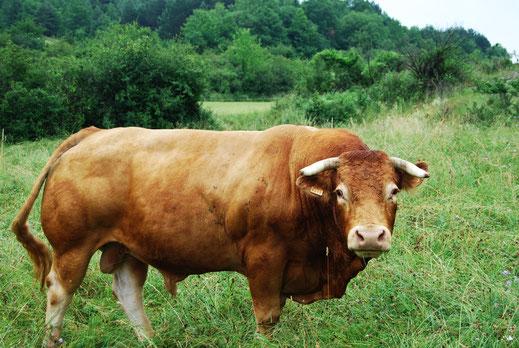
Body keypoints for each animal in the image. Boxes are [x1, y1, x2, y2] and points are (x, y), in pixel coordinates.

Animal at [12, 125, 430, 346]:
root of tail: (91, 134)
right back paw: (52, 338)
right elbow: (267, 316)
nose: (370, 236)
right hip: (73, 247)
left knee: (127, 292)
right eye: (340, 192)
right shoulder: (264, 259)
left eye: (393, 191)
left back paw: (150, 339)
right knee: (59, 290)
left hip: (127, 249)